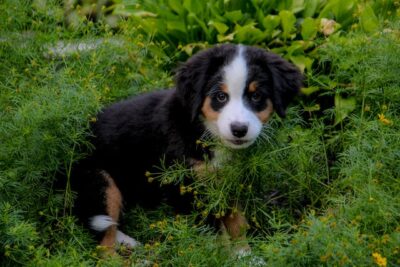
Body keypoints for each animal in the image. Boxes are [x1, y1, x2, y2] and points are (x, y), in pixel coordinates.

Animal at [70, 44, 302, 251]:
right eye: (220, 96)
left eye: (256, 96)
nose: (239, 129)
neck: (204, 130)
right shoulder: (186, 188)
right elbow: (215, 234)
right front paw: (225, 256)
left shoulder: (228, 183)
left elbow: (237, 222)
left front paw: (244, 255)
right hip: (101, 184)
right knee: (103, 243)